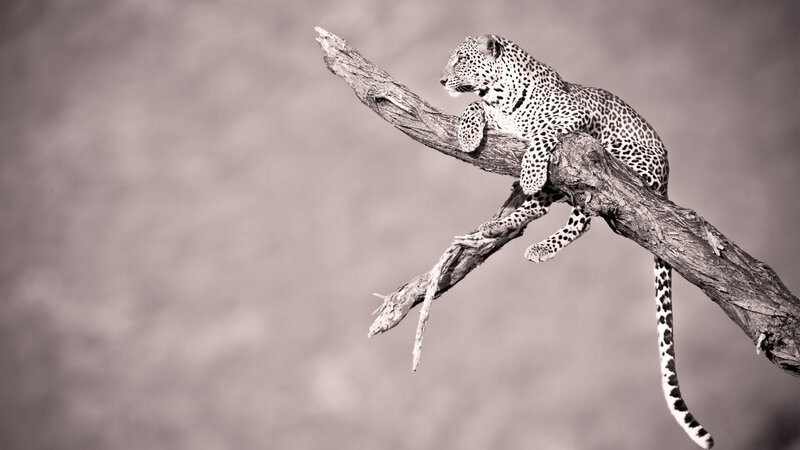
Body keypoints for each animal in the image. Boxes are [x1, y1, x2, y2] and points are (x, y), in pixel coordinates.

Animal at [440, 34, 714, 449]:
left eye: (461, 60)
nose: (441, 80)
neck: (500, 96)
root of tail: (666, 180)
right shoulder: (495, 114)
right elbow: (473, 106)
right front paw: (469, 135)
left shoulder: (573, 117)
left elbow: (541, 134)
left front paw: (530, 169)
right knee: (540, 208)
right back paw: (493, 228)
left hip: (606, 162)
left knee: (584, 215)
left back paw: (537, 241)